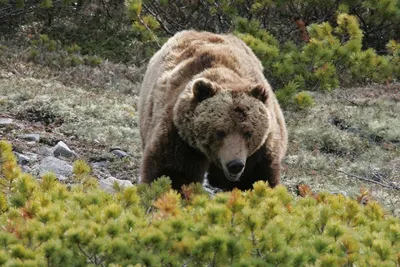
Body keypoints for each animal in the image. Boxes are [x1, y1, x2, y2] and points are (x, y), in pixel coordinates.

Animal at [138, 30, 288, 191]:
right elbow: (171, 174)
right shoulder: (181, 137)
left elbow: (256, 178)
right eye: (219, 132)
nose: (235, 164)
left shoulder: (262, 148)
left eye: (248, 132)